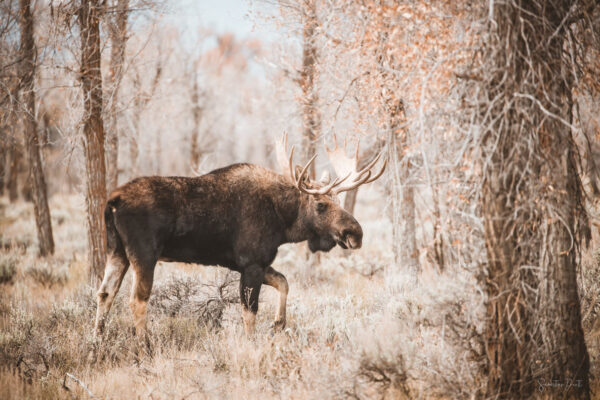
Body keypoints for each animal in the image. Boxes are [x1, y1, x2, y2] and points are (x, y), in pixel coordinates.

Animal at [92, 135, 386, 340]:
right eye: (321, 204)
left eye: (339, 201)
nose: (355, 233)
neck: (283, 220)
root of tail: (113, 201)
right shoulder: (252, 263)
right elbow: (250, 314)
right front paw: (253, 343)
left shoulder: (254, 263)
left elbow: (284, 282)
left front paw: (279, 323)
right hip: (144, 255)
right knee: (137, 300)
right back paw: (145, 347)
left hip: (117, 251)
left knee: (105, 293)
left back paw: (97, 342)